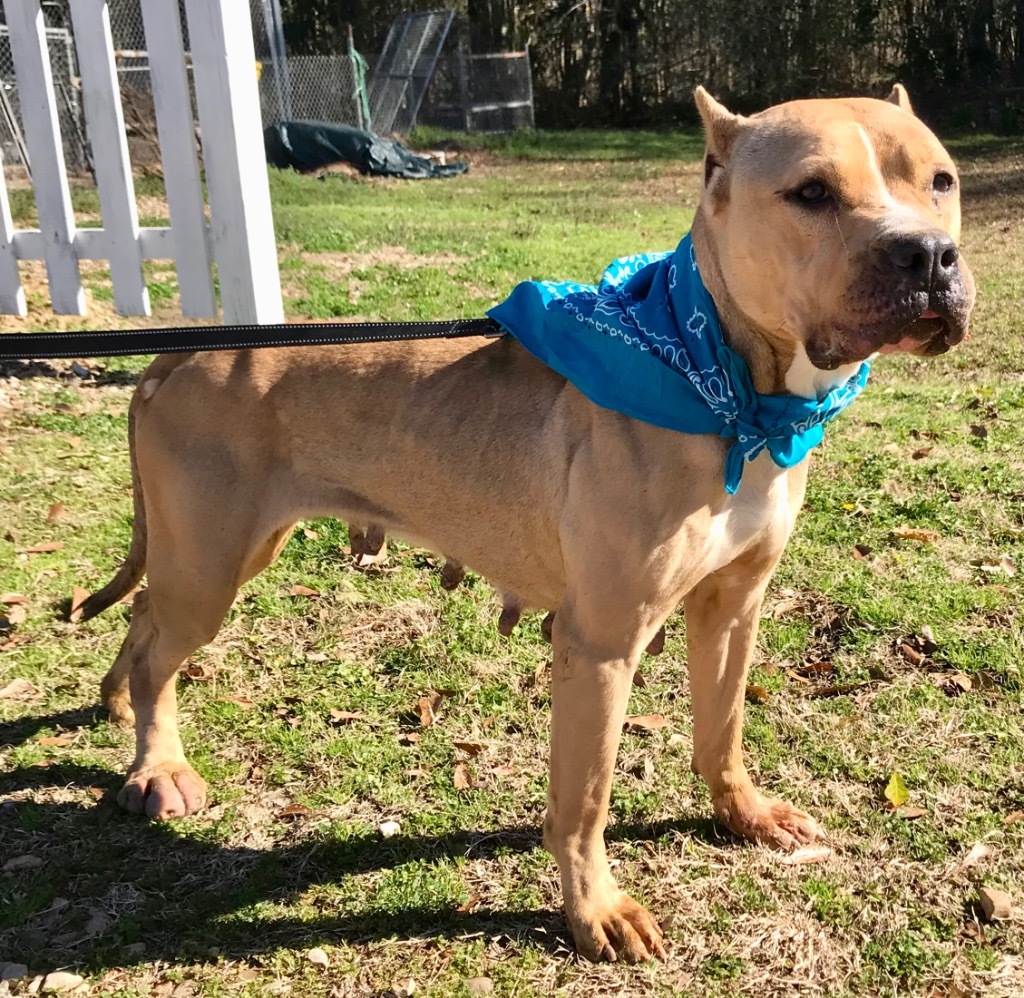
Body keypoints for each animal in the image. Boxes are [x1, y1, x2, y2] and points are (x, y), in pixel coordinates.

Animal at [81, 89, 974, 962]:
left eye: (941, 181)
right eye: (812, 193)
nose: (929, 256)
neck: (728, 385)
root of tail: (179, 351)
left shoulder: (733, 606)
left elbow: (723, 727)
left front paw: (743, 813)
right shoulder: (600, 644)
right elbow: (584, 800)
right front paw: (596, 910)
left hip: (222, 552)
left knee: (145, 614)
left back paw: (120, 705)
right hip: (211, 564)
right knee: (162, 648)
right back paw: (158, 764)